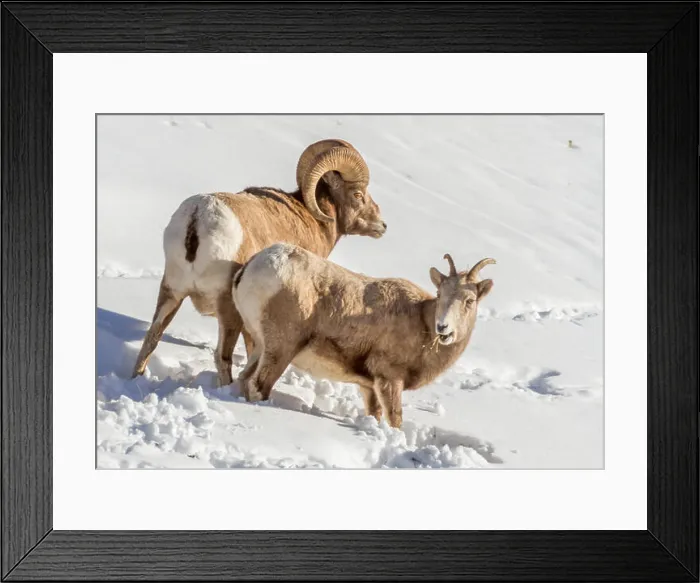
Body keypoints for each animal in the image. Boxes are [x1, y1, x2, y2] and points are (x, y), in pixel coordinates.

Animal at [131, 139, 387, 386]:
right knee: (222, 356)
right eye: (358, 194)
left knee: (152, 338)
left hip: (172, 292)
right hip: (226, 307)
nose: (382, 226)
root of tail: (197, 216)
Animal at [232, 243, 495, 428]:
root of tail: (254, 265)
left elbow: (375, 415)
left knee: (244, 379)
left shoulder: (369, 386)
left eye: (470, 300)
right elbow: (395, 420)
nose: (443, 328)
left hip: (261, 346)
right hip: (281, 348)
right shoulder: (389, 379)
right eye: (440, 294)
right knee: (259, 386)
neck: (423, 324)